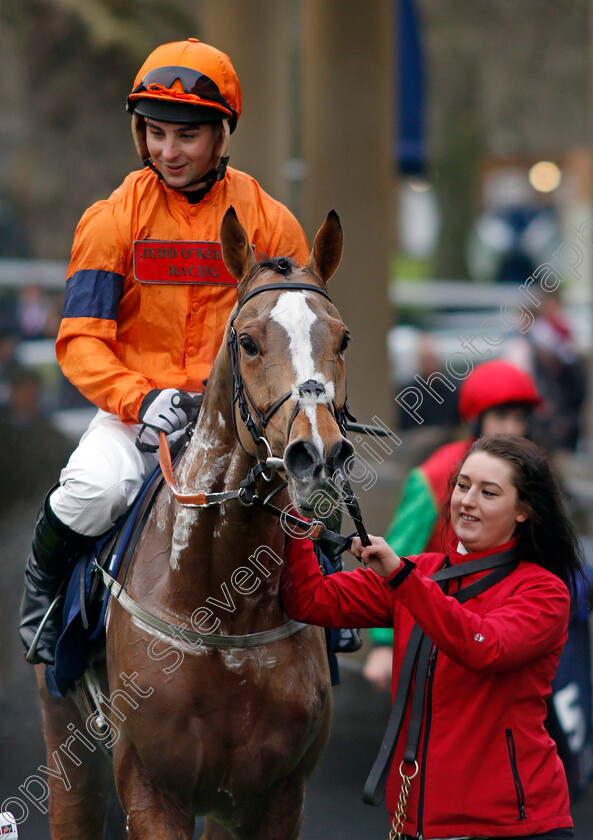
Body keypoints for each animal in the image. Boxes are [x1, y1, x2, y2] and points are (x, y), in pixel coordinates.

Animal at [34, 205, 354, 840]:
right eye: (248, 342)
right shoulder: (151, 787)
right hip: (65, 745)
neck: (221, 601)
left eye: (343, 338)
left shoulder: (274, 794)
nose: (319, 455)